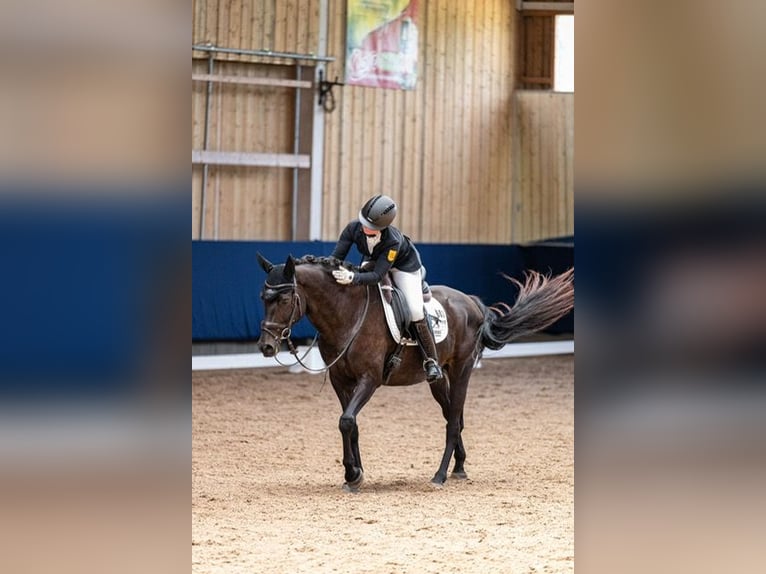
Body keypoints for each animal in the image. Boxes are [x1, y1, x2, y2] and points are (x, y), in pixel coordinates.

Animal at [256, 253, 574, 491]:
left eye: (284, 300)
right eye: (262, 297)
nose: (266, 346)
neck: (347, 314)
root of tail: (471, 302)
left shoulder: (369, 379)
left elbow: (346, 421)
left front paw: (352, 474)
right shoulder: (340, 380)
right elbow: (350, 424)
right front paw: (355, 473)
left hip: (462, 370)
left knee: (453, 422)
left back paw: (440, 475)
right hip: (438, 378)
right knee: (453, 416)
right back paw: (460, 467)